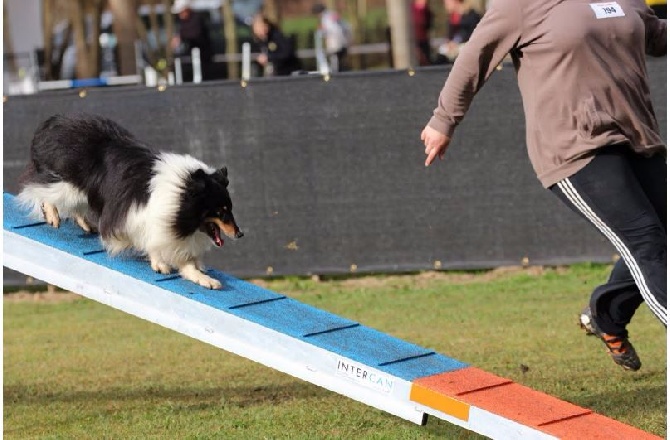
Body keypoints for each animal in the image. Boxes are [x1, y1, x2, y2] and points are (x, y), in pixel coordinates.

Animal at [17, 113, 244, 288]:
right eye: (220, 211)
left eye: (230, 209)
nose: (240, 234)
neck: (181, 197)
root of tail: (53, 121)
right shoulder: (139, 219)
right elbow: (152, 244)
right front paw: (160, 264)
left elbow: (186, 263)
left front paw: (205, 280)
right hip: (67, 185)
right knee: (42, 189)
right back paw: (52, 216)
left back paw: (86, 224)